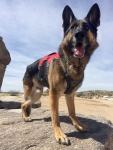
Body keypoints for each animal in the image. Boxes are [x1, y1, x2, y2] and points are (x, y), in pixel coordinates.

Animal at [21, 3, 100, 145]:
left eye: (86, 27)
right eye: (72, 28)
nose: (79, 34)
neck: (72, 64)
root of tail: (28, 66)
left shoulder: (70, 94)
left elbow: (72, 112)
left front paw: (78, 125)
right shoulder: (53, 94)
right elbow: (55, 117)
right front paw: (59, 134)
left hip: (37, 94)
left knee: (25, 103)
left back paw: (26, 116)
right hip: (31, 92)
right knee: (22, 102)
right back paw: (25, 117)